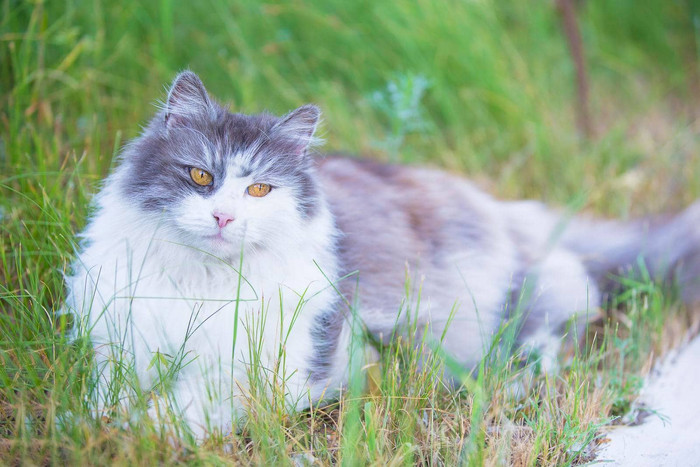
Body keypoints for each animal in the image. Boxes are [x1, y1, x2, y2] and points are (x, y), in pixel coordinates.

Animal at [63, 69, 696, 438]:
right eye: (200, 176)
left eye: (259, 190)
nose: (223, 217)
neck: (203, 285)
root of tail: (502, 207)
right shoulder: (119, 348)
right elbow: (105, 399)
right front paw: (91, 425)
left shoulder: (267, 375)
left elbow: (178, 409)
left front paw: (127, 434)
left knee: (549, 338)